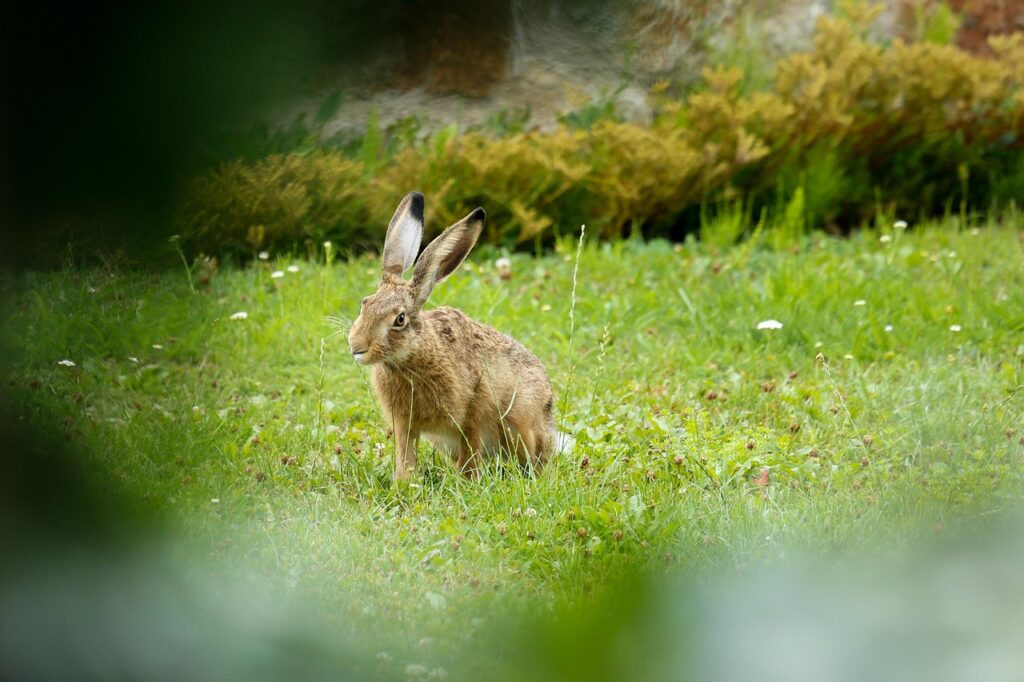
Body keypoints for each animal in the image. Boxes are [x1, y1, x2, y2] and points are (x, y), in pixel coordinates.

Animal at [348, 192, 555, 481]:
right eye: (364, 304)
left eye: (400, 319)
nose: (356, 347)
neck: (413, 357)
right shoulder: (404, 423)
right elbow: (405, 455)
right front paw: (403, 482)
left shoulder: (472, 415)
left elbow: (471, 449)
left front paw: (467, 481)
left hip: (520, 423)